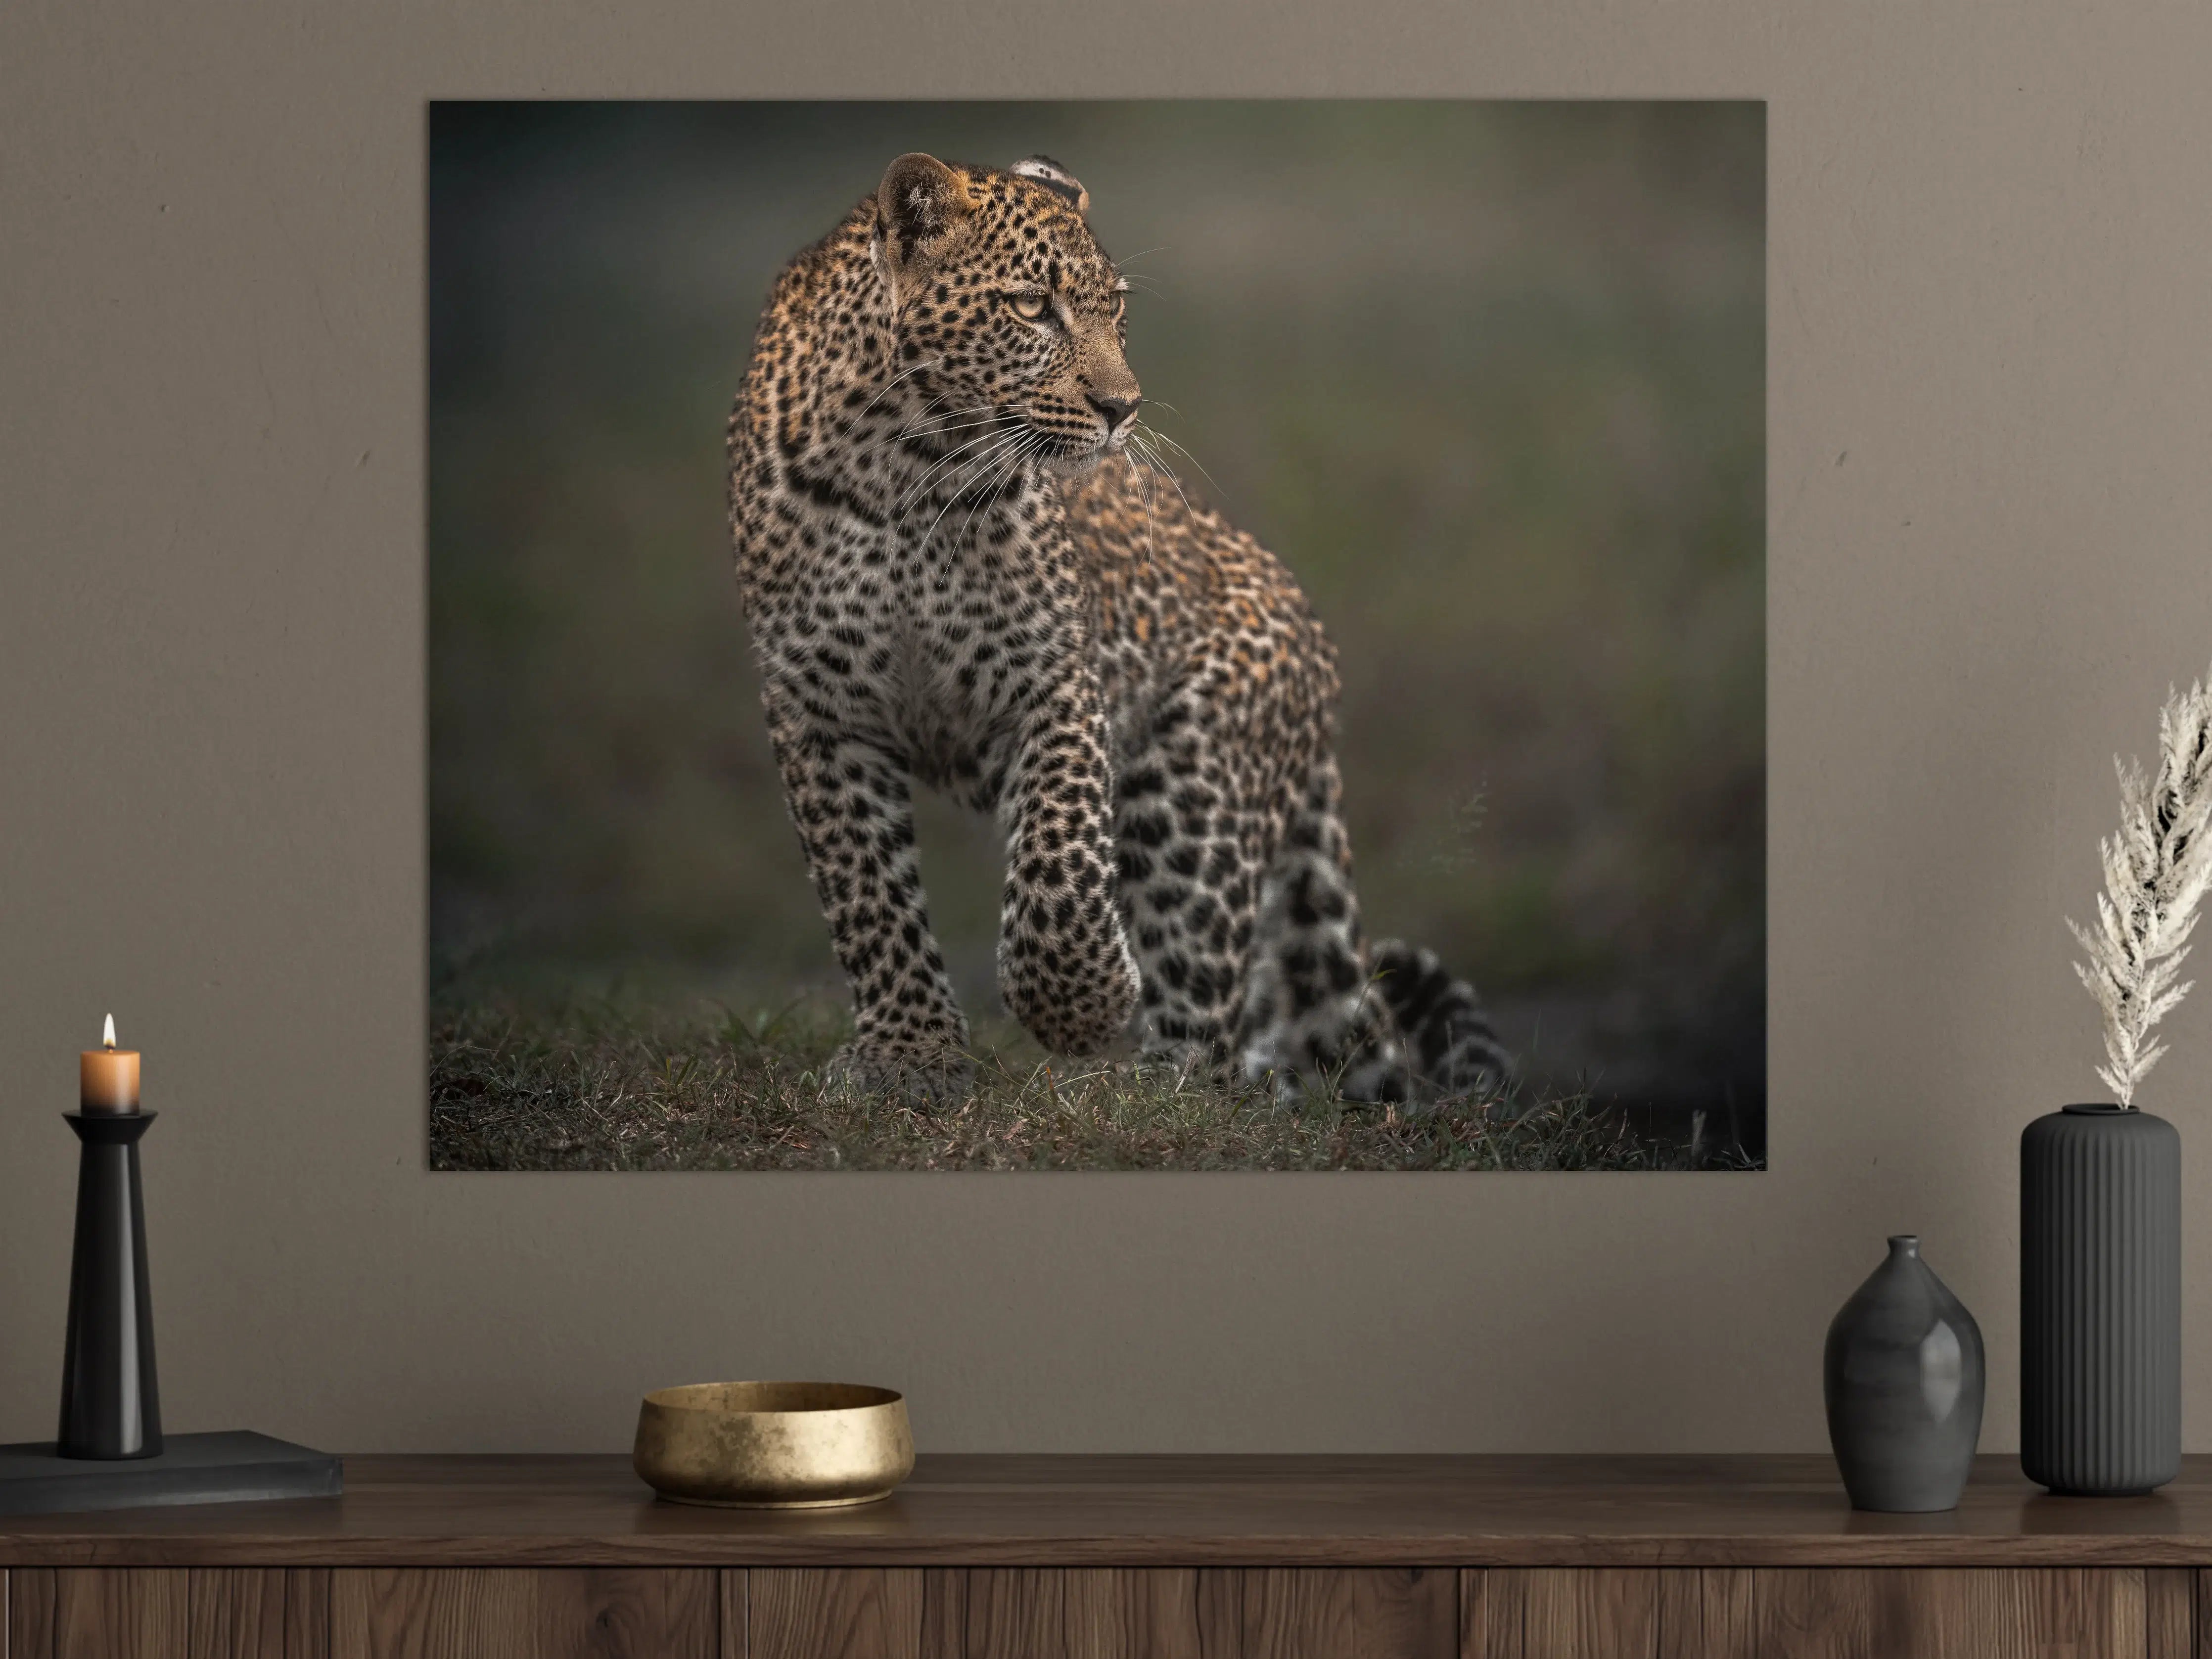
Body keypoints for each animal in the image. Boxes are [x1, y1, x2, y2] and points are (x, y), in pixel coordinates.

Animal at [727, 150, 1510, 1108]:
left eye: (1117, 310)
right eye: (1033, 306)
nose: (1122, 407)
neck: (904, 470)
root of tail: (1315, 646)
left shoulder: (1053, 678)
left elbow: (1060, 860)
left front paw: (1081, 1004)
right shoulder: (817, 709)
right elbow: (867, 894)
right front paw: (909, 1055)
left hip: (1192, 788)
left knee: (1206, 1018)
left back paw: (1151, 1094)